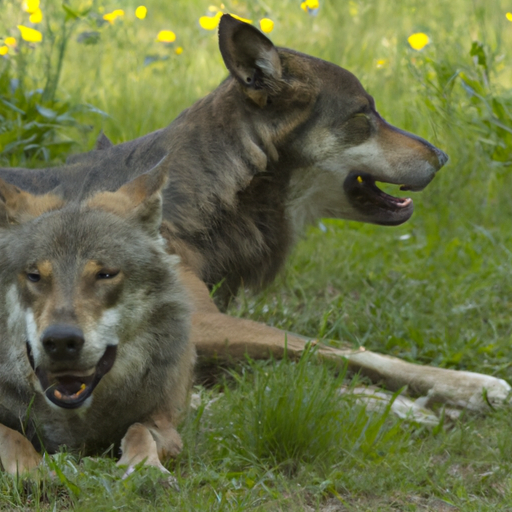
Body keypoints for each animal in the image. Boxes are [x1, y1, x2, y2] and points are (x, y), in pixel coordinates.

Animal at [0, 16, 508, 478]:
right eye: (365, 115)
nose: (442, 156)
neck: (194, 204)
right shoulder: (202, 324)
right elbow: (337, 350)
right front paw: (468, 388)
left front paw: (411, 402)